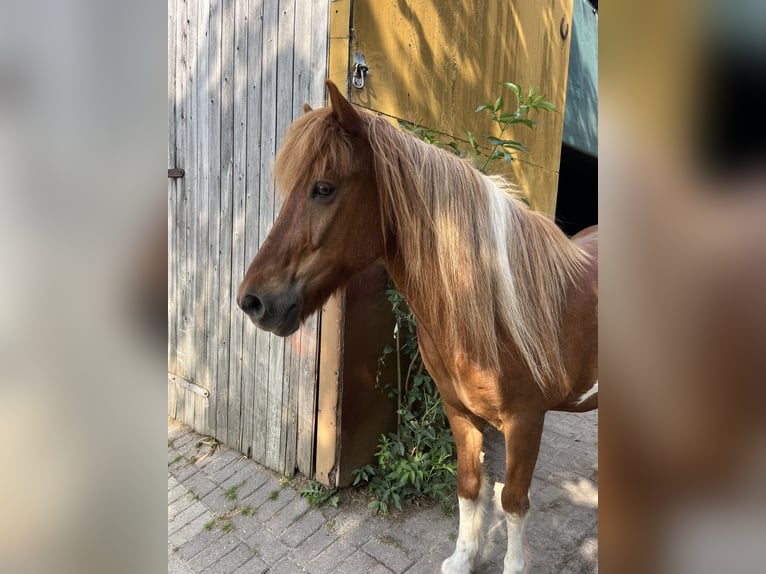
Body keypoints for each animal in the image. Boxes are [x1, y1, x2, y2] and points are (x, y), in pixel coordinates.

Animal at [237, 80, 598, 574]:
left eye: (323, 188)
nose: (252, 301)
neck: (495, 309)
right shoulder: (458, 412)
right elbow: (469, 486)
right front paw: (463, 557)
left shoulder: (526, 421)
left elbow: (513, 501)